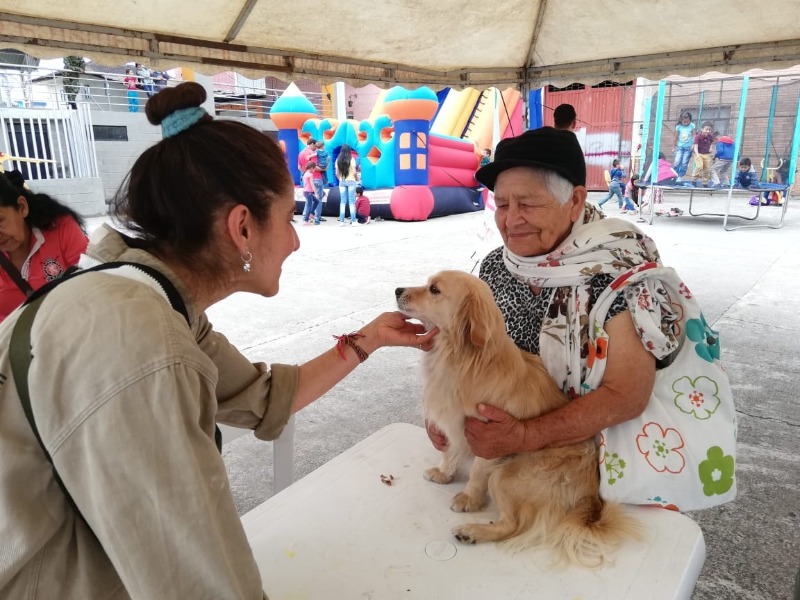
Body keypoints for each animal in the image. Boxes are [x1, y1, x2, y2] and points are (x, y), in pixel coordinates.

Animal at [396, 270, 640, 564]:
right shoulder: (452, 422)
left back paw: (472, 532)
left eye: (434, 290)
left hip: (505, 475)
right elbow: (449, 450)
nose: (397, 290)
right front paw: (444, 473)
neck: (459, 357)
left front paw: (469, 498)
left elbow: (477, 470)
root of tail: (589, 496)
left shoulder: (486, 434)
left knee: (511, 525)